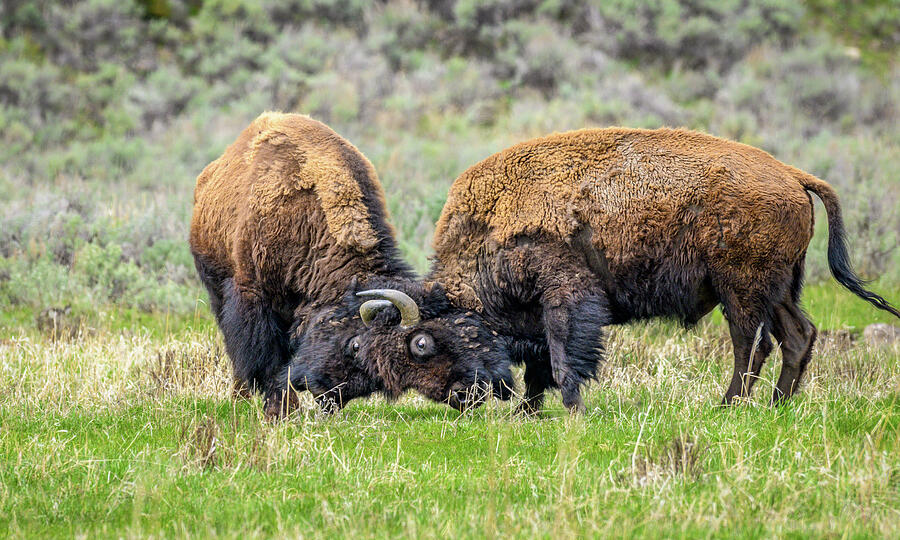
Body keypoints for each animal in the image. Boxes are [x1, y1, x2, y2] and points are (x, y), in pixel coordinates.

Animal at [190, 113, 512, 414]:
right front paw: (281, 413)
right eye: (421, 344)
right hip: (216, 288)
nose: (468, 394)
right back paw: (240, 399)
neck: (306, 220)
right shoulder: (252, 297)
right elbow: (263, 359)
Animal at [420, 127, 900, 414]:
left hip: (740, 289)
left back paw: (728, 405)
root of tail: (792, 175)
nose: (459, 400)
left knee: (751, 343)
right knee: (797, 336)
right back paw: (776, 406)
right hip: (780, 288)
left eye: (438, 341)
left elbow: (560, 357)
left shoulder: (564, 297)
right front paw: (527, 413)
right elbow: (541, 364)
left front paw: (571, 409)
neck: (489, 227)